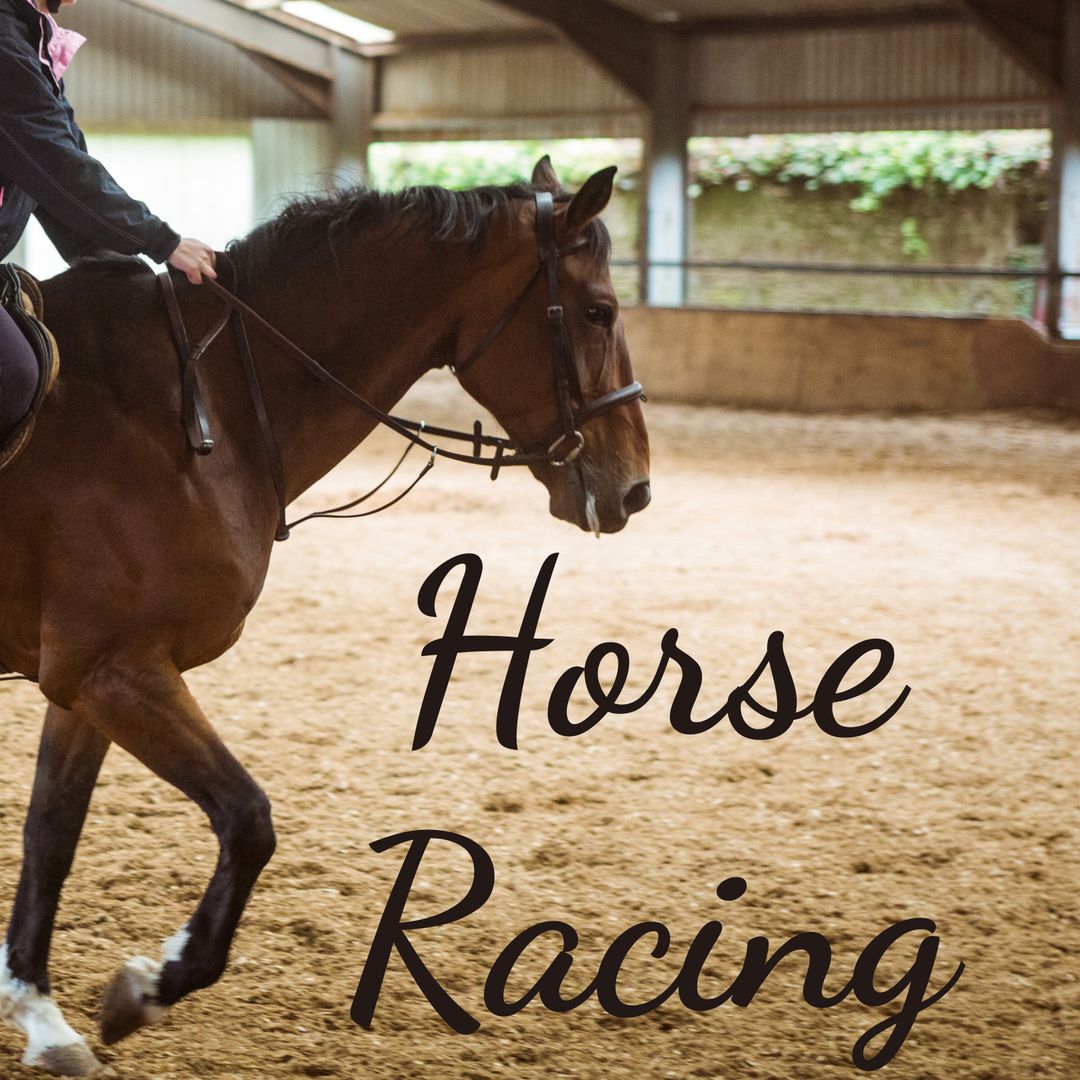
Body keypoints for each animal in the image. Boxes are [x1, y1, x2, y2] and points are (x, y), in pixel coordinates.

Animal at [0, 156, 648, 1075]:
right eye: (598, 312)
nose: (636, 485)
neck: (196, 410)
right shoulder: (116, 669)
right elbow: (248, 821)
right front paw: (152, 984)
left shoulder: (84, 680)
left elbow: (51, 833)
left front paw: (42, 1015)